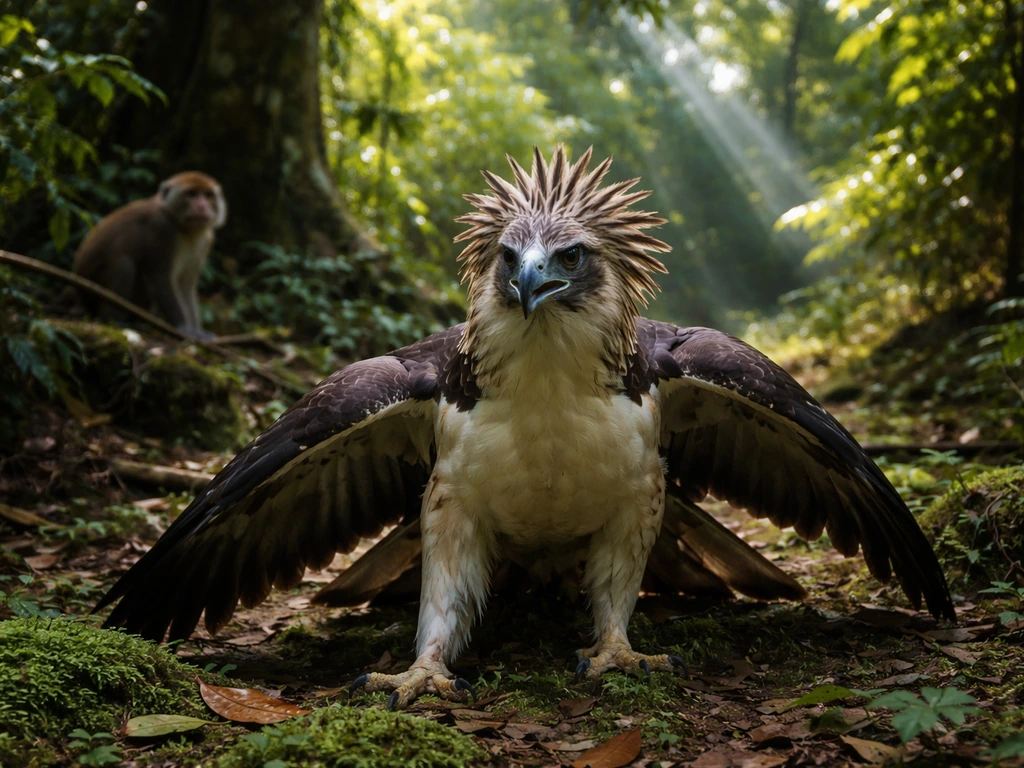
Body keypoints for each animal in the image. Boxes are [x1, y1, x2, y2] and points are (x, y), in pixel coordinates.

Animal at [72, 171, 226, 339]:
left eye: (208, 195)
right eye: (191, 194)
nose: (202, 206)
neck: (185, 228)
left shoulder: (205, 241)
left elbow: (186, 284)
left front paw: (197, 331)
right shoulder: (162, 228)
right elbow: (161, 277)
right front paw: (184, 328)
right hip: (90, 293)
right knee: (123, 264)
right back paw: (113, 320)